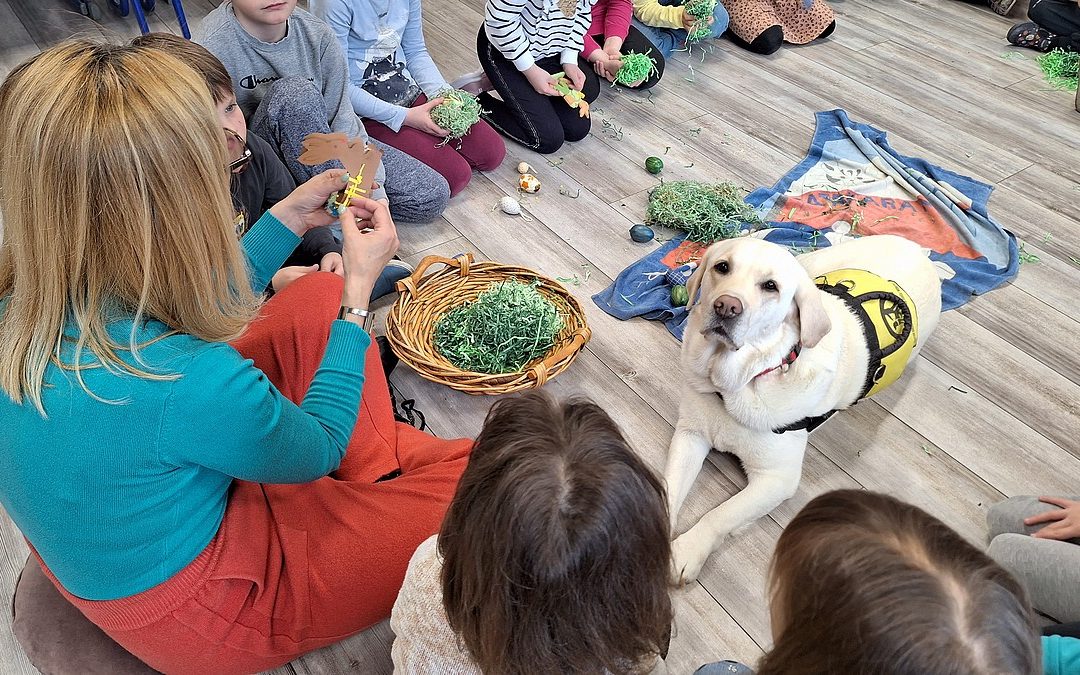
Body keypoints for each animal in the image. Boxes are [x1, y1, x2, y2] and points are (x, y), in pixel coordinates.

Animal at [669, 233, 941, 578]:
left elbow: (722, 514)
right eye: (722, 267)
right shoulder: (689, 435)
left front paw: (688, 550)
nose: (726, 306)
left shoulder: (778, 478)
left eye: (770, 286)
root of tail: (916, 249)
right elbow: (669, 487)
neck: (738, 383)